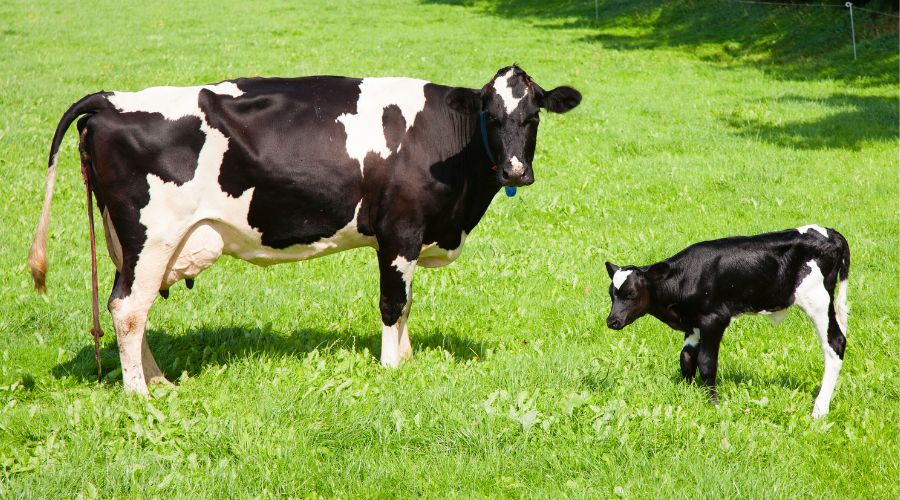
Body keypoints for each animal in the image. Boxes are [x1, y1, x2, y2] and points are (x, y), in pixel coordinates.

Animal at [28, 66, 582, 395]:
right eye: (491, 115)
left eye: (533, 116)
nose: (515, 170)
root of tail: (110, 100)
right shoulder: (399, 229)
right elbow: (393, 302)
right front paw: (392, 367)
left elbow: (408, 303)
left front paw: (407, 358)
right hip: (152, 235)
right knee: (127, 308)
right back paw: (140, 393)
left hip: (134, 245)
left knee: (129, 305)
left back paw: (158, 380)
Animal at [604, 226, 850, 418]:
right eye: (612, 294)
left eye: (630, 294)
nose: (612, 321)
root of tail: (831, 233)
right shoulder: (693, 324)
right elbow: (686, 359)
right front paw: (687, 393)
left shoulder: (714, 320)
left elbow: (706, 363)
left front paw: (713, 404)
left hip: (818, 301)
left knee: (835, 343)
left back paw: (819, 410)